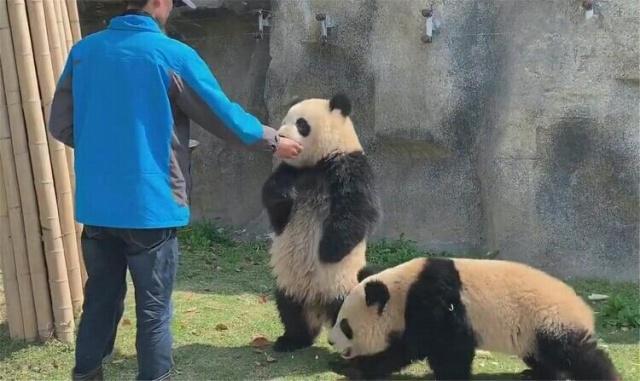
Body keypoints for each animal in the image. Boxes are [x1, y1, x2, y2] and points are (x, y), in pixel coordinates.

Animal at [262, 93, 380, 352]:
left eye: (301, 124)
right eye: (284, 120)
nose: (280, 137)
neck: (317, 163)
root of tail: (319, 305)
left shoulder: (349, 167)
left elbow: (356, 211)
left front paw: (328, 250)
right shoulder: (290, 171)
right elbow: (277, 210)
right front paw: (285, 194)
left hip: (344, 283)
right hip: (290, 283)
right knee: (289, 308)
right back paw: (292, 340)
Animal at [328, 256, 616, 378]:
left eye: (345, 326)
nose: (330, 341)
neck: (402, 291)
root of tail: (585, 309)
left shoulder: (434, 303)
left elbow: (427, 346)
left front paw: (357, 368)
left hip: (549, 320)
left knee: (577, 355)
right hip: (533, 331)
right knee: (541, 356)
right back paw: (536, 374)